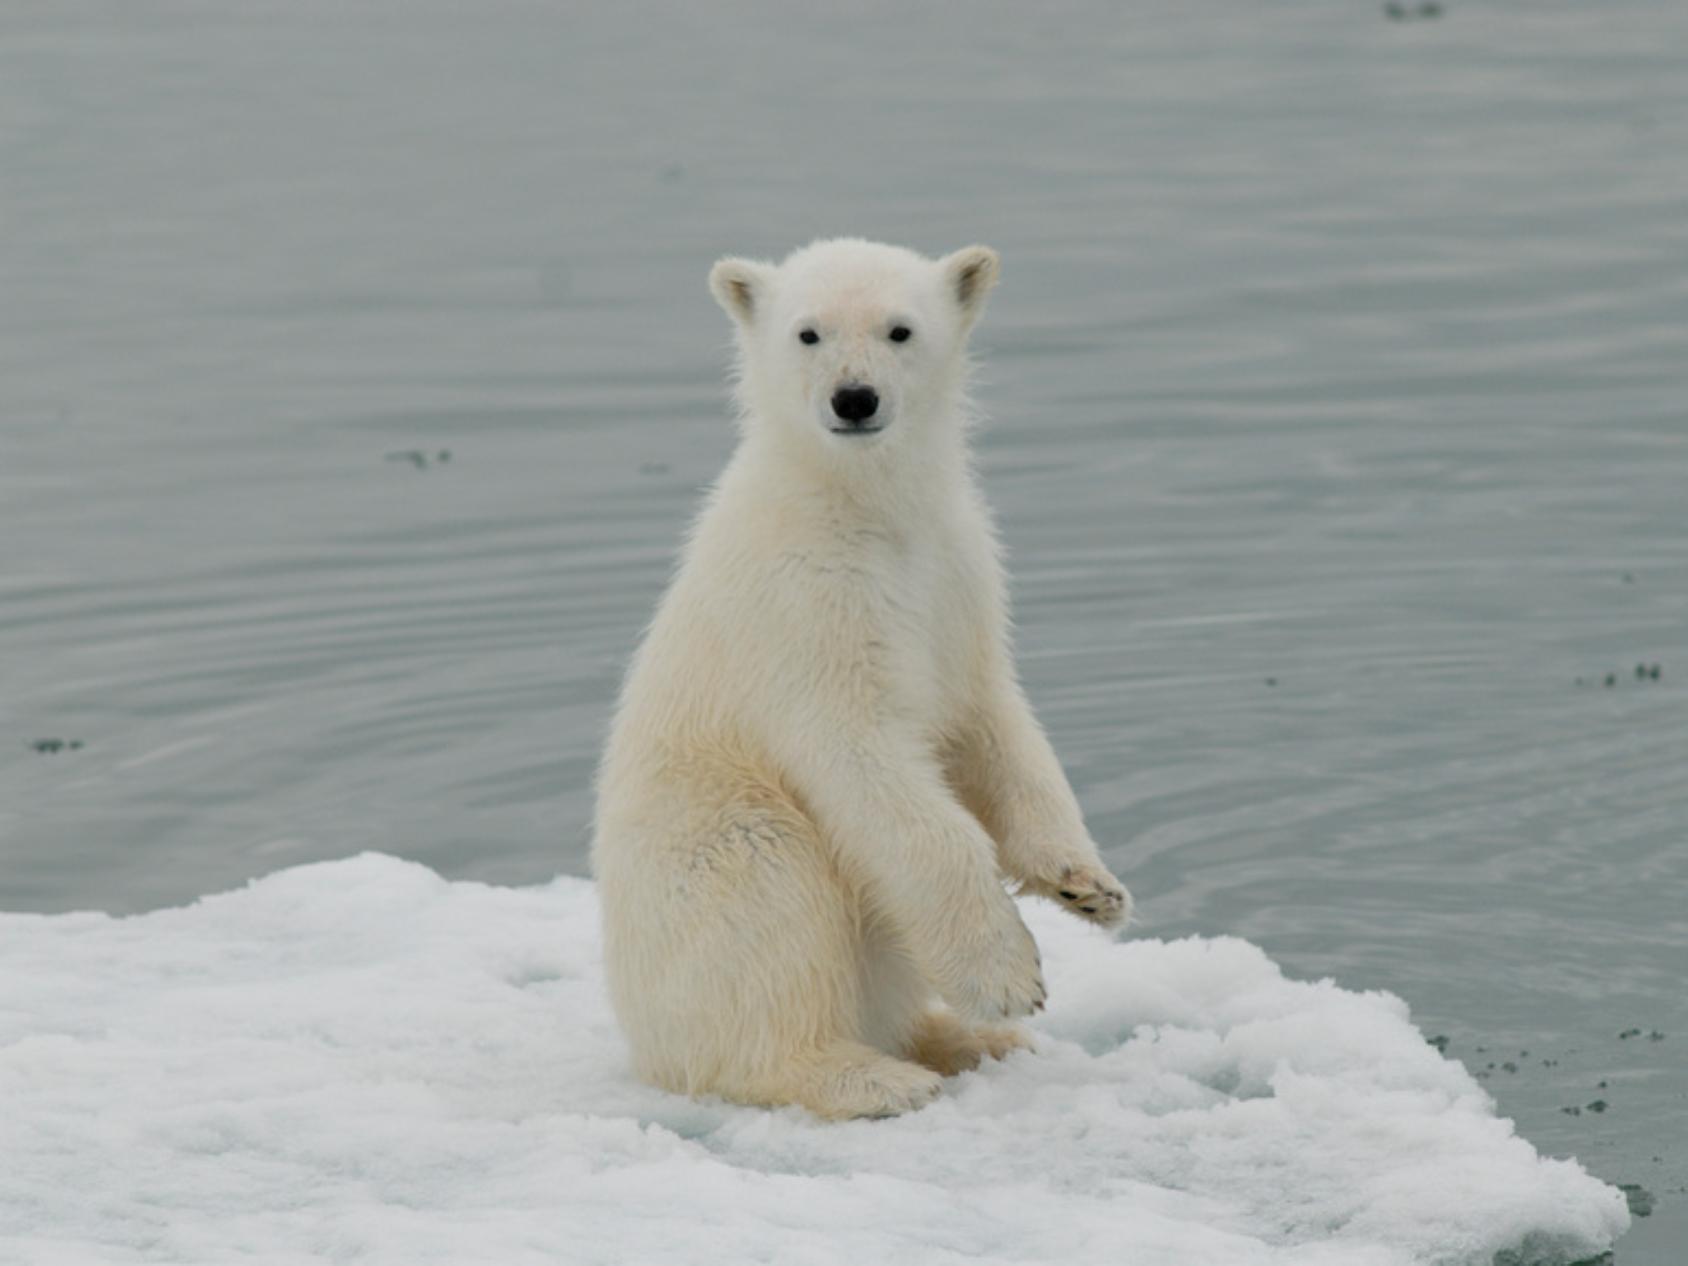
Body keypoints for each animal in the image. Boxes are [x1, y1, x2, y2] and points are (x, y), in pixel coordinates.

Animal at [594, 238, 1134, 1120]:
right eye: (808, 333)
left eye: (900, 329)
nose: (854, 399)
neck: (865, 509)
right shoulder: (805, 604)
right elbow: (865, 758)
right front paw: (1008, 976)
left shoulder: (957, 573)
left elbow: (992, 720)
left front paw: (1087, 887)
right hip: (709, 842)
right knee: (771, 904)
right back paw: (870, 1075)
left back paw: (962, 1041)